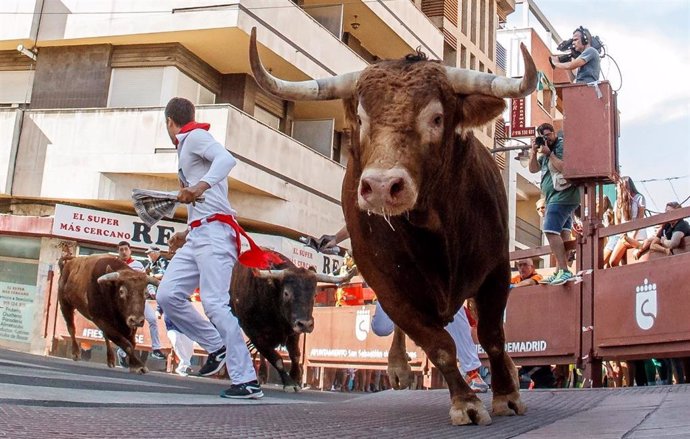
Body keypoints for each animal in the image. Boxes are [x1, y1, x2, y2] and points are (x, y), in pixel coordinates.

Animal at [249, 28, 536, 426]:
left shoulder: (496, 269)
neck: (435, 229)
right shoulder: (388, 287)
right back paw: (399, 367)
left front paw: (506, 395)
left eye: (436, 118)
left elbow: (492, 335)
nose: (383, 186)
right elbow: (439, 346)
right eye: (360, 119)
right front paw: (465, 402)